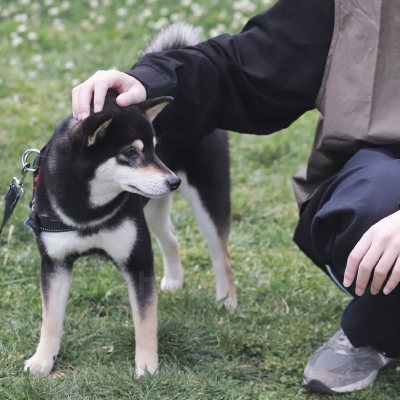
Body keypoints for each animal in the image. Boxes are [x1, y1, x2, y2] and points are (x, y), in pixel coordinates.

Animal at [25, 24, 236, 376]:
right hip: (151, 207)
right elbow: (50, 318)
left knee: (220, 252)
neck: (88, 209)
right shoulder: (55, 262)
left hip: (208, 197)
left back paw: (227, 300)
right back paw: (174, 280)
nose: (173, 181)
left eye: (154, 147)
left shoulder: (137, 261)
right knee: (171, 238)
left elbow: (145, 320)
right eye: (131, 153)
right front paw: (42, 360)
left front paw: (147, 369)